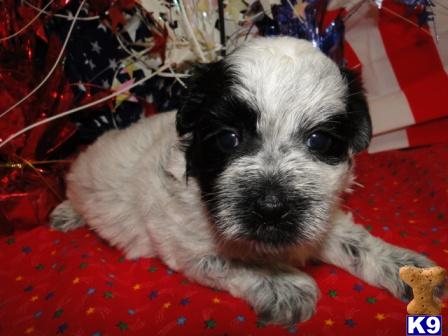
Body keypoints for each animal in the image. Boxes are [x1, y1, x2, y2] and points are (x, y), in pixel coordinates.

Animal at [50, 36, 436, 326]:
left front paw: (409, 270)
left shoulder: (318, 220)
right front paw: (286, 285)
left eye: (319, 140)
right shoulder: (189, 249)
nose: (271, 207)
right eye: (228, 138)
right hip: (83, 176)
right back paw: (66, 213)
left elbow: (354, 240)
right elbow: (235, 261)